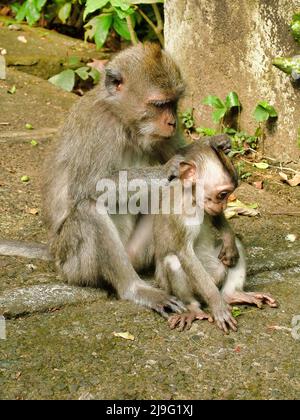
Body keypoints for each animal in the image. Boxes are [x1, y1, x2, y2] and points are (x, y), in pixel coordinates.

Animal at [0, 43, 239, 318]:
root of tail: (53, 251)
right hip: (74, 263)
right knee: (89, 209)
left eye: (174, 103)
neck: (122, 120)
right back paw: (134, 289)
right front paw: (166, 169)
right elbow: (87, 188)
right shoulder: (100, 128)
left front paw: (212, 144)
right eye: (160, 104)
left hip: (136, 251)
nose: (172, 122)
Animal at [154, 139, 278, 334]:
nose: (224, 206)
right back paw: (193, 309)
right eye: (223, 194)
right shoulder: (180, 215)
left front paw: (228, 240)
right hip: (187, 286)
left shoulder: (209, 209)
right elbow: (185, 255)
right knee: (173, 260)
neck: (192, 199)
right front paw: (217, 304)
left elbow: (216, 219)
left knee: (236, 248)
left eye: (229, 195)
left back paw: (232, 294)